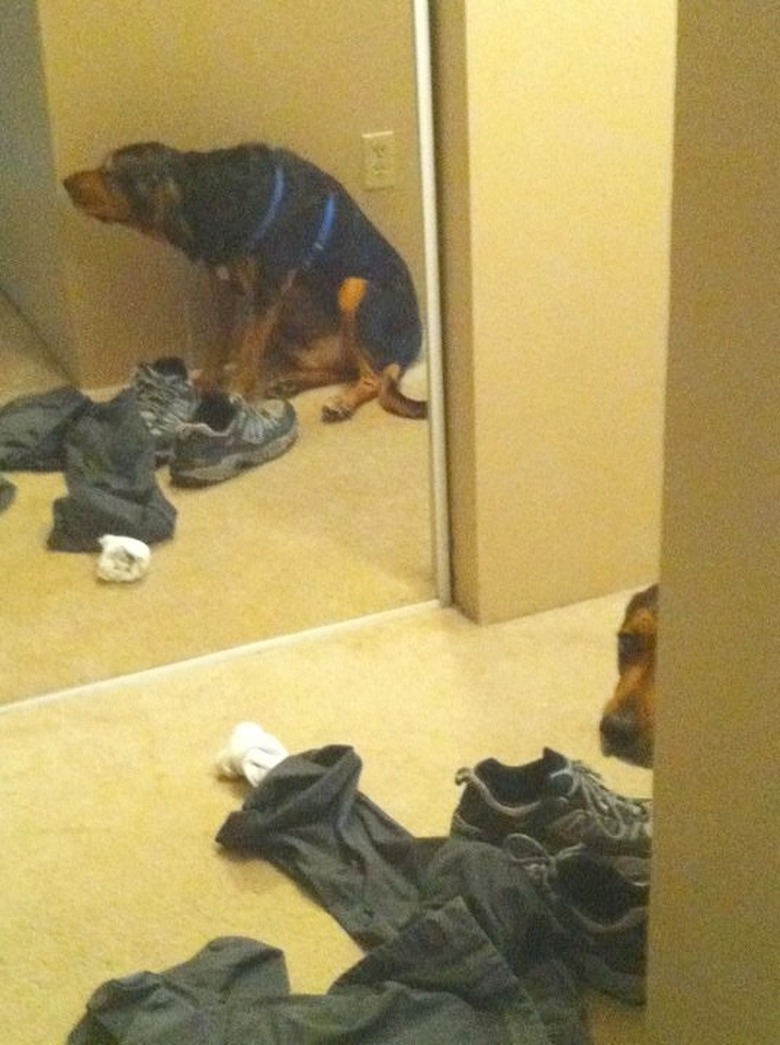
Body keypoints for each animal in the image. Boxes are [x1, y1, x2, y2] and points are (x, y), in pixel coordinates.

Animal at [62, 141, 424, 422]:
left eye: (110, 173)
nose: (64, 182)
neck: (212, 194)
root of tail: (410, 347)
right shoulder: (222, 291)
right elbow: (218, 346)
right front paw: (205, 384)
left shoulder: (266, 295)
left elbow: (247, 358)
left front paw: (234, 398)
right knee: (350, 369)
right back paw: (292, 382)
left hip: (353, 289)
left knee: (373, 379)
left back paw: (341, 402)